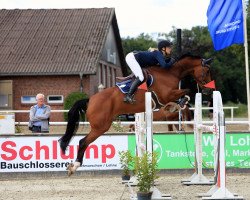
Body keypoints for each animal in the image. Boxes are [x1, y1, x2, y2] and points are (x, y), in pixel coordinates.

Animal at [58, 53, 213, 175]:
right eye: (206, 71)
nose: (208, 90)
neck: (171, 72)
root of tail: (90, 100)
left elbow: (184, 94)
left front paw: (176, 105)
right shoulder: (166, 95)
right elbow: (187, 91)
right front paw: (179, 103)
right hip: (100, 127)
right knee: (83, 142)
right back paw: (74, 166)